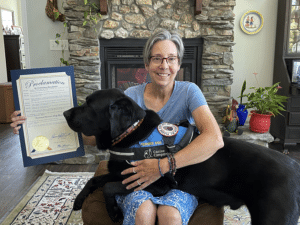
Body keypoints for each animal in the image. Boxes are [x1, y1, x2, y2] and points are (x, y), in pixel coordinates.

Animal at [63, 89, 300, 224]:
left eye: (89, 104)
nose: (64, 113)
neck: (131, 132)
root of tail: (296, 167)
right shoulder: (119, 172)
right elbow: (95, 180)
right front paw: (78, 200)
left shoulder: (156, 184)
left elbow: (108, 187)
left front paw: (113, 211)